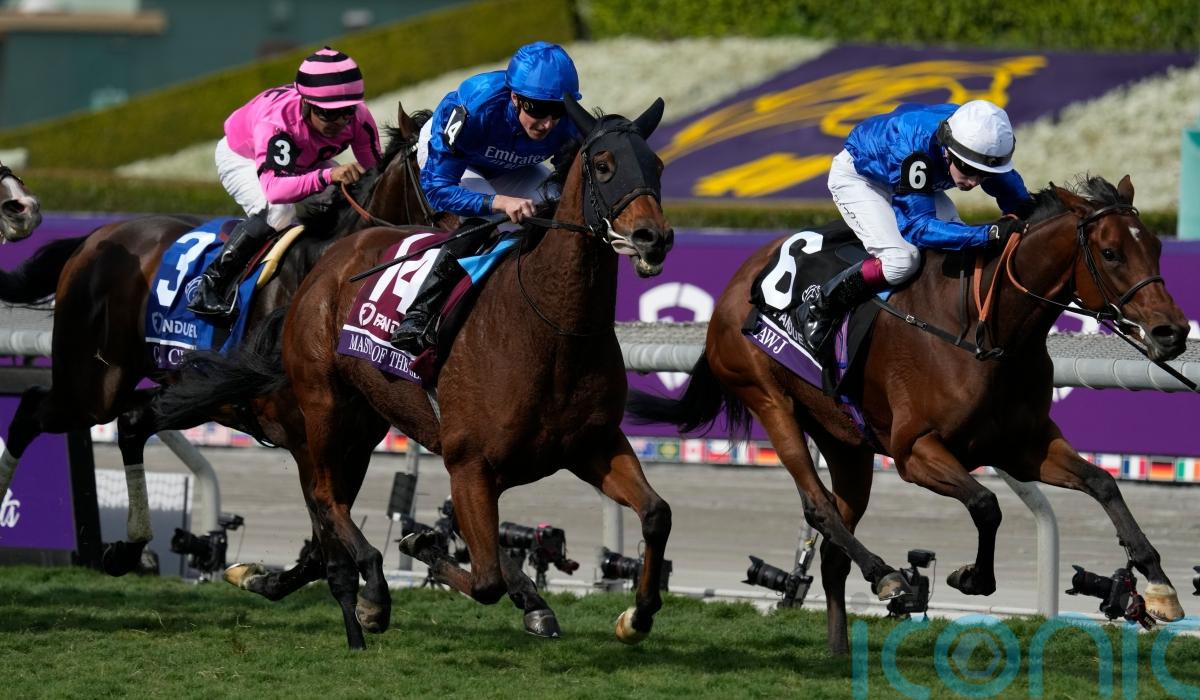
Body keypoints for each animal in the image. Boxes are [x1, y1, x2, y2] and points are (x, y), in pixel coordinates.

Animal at [0, 105, 437, 609]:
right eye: (435, 165)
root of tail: (95, 235)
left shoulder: (355, 443)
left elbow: (319, 547)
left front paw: (255, 576)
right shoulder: (307, 438)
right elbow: (328, 543)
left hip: (187, 392)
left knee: (130, 422)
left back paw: (126, 549)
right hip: (92, 384)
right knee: (35, 408)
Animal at [159, 95, 677, 645]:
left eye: (657, 166)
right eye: (603, 165)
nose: (653, 238)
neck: (551, 328)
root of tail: (331, 261)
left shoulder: (594, 444)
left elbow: (656, 514)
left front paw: (636, 615)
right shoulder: (469, 465)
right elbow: (487, 578)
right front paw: (417, 549)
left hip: (362, 423)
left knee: (328, 511)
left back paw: (268, 576)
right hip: (322, 407)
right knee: (326, 499)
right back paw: (369, 590)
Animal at [627, 175, 1190, 654]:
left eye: (1156, 247)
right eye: (1111, 253)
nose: (1173, 332)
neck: (986, 330)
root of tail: (735, 286)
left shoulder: (1024, 445)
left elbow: (1103, 483)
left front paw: (1159, 584)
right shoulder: (915, 451)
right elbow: (986, 503)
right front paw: (972, 577)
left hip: (847, 443)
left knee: (833, 550)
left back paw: (840, 650)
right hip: (769, 399)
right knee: (819, 506)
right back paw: (885, 575)